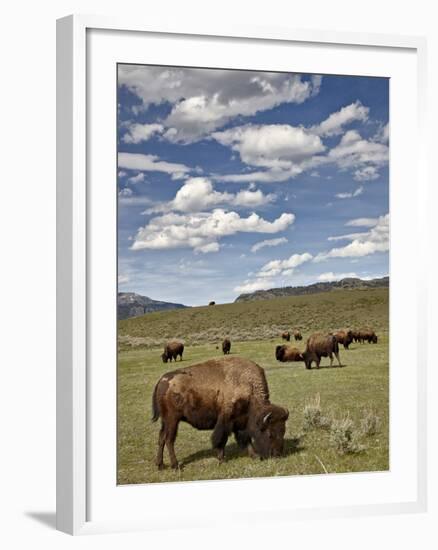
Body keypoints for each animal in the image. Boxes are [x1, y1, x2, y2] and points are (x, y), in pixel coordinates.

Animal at [152, 358, 290, 470]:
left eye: (283, 431)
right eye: (270, 434)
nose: (278, 455)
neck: (248, 387)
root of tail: (162, 381)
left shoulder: (241, 422)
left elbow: (246, 439)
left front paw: (255, 455)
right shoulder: (226, 420)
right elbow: (221, 440)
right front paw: (221, 459)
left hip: (165, 421)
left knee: (161, 437)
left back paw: (160, 465)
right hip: (172, 420)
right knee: (169, 440)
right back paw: (175, 465)